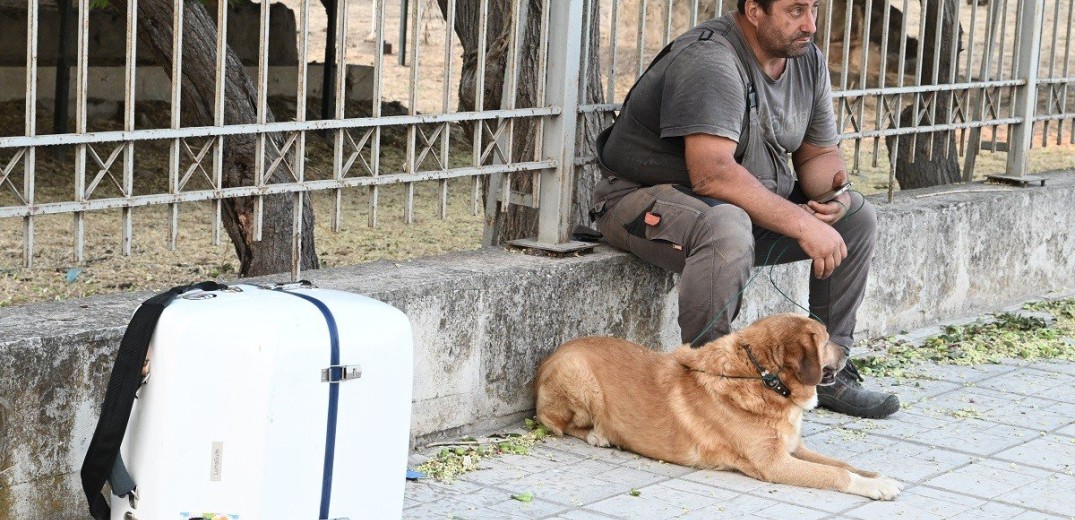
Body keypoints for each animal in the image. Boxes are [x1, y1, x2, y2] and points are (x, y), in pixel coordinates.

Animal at [535, 313, 898, 500]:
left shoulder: (793, 448)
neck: (761, 378)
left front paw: (876, 475)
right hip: (579, 377)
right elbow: (835, 473)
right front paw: (875, 486)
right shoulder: (775, 464)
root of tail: (550, 357)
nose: (847, 352)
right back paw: (598, 435)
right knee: (558, 423)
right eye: (825, 340)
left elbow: (842, 463)